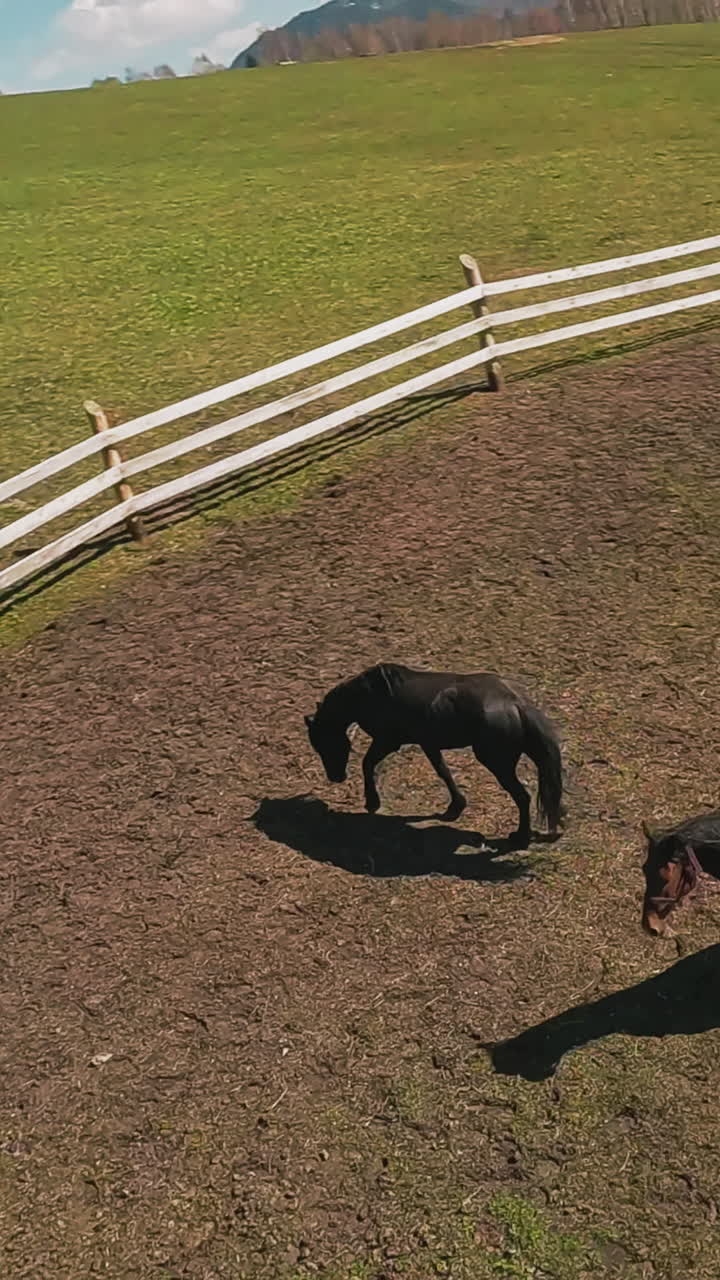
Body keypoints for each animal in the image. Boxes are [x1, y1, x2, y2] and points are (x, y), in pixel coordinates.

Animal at [304, 663, 565, 847]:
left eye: (323, 743)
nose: (335, 777)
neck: (371, 695)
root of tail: (515, 704)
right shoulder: (428, 743)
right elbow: (443, 771)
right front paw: (455, 807)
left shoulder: (387, 742)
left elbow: (367, 764)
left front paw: (372, 802)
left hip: (497, 764)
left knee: (522, 796)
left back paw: (520, 838)